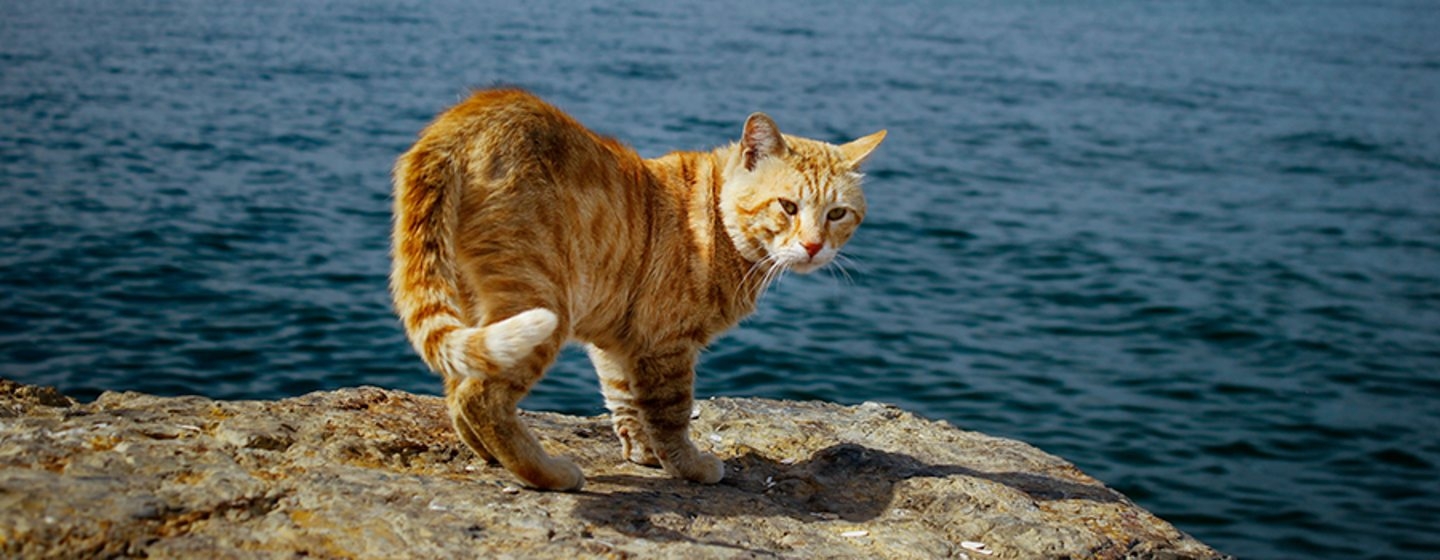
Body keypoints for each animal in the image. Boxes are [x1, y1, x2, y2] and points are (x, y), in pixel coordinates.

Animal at [388, 87, 881, 489]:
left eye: (837, 214)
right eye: (787, 206)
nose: (814, 246)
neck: (717, 225)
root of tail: (463, 119)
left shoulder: (618, 340)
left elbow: (624, 398)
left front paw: (643, 453)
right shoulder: (666, 344)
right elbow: (671, 414)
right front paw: (688, 466)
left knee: (457, 387)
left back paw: (489, 455)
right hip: (541, 304)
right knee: (480, 397)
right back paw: (545, 473)